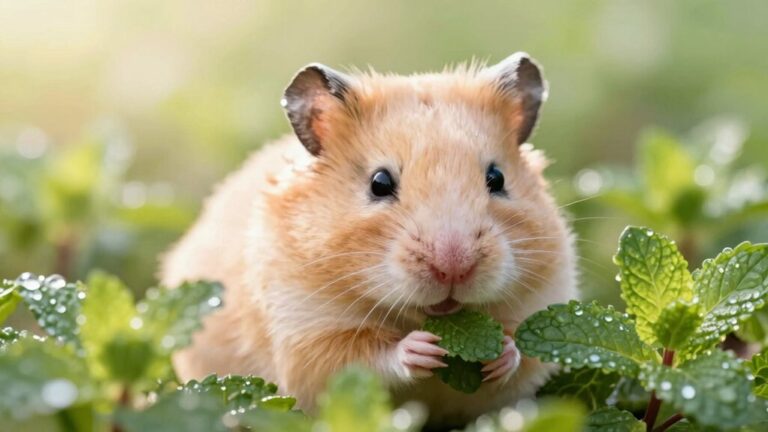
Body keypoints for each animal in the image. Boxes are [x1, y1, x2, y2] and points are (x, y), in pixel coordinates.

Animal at [160, 52, 578, 427]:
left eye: (497, 178)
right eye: (379, 183)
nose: (453, 267)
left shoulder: (541, 305)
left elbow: (522, 355)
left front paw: (501, 353)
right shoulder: (306, 336)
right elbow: (362, 359)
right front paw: (421, 350)